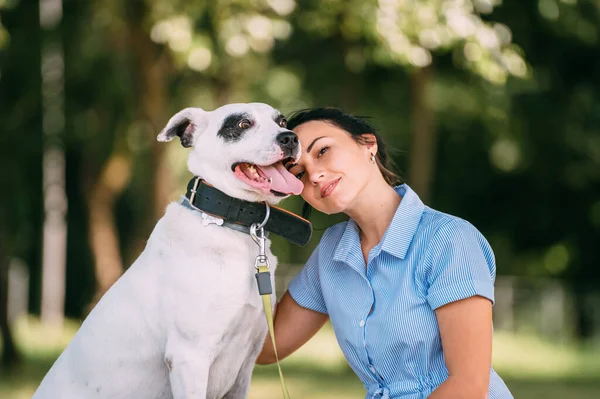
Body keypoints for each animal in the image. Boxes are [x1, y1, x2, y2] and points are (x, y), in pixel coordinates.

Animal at [31, 104, 308, 399]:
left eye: (282, 121)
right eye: (243, 124)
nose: (290, 138)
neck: (225, 223)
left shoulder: (245, 364)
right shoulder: (190, 356)